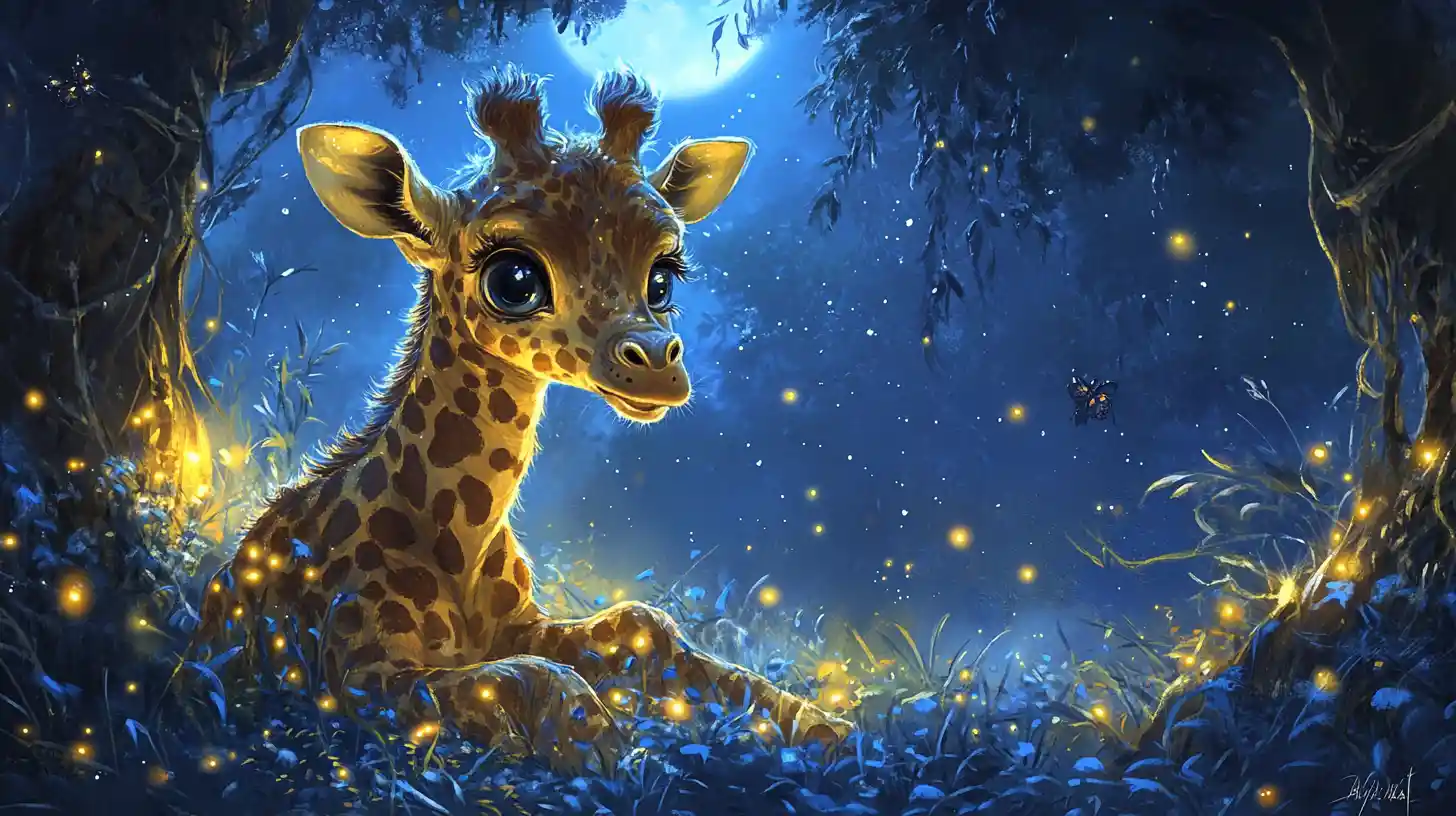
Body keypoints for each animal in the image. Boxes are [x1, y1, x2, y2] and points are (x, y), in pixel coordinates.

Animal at [188, 65, 852, 772]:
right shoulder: (349, 677)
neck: (460, 546)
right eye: (513, 279)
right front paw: (613, 753)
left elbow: (643, 625)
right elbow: (524, 675)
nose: (657, 367)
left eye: (663, 279)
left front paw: (823, 725)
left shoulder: (523, 625)